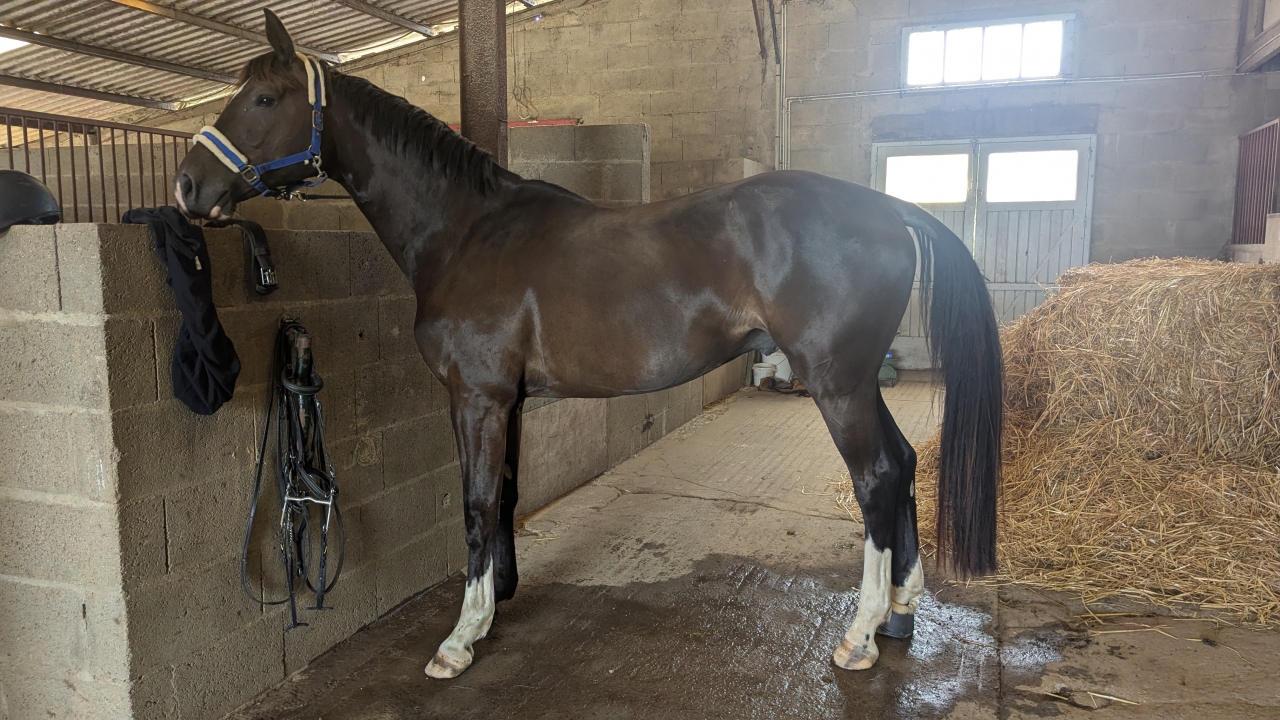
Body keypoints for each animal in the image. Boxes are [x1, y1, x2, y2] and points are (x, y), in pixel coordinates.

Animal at [175, 10, 1002, 680]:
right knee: (904, 463)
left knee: (876, 477)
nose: (187, 187)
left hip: (835, 382)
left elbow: (475, 503)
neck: (466, 231)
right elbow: (505, 495)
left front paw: (459, 639)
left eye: (265, 99)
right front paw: (499, 598)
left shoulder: (476, 397)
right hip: (854, 381)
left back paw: (859, 637)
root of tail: (890, 208)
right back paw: (901, 614)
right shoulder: (507, 401)